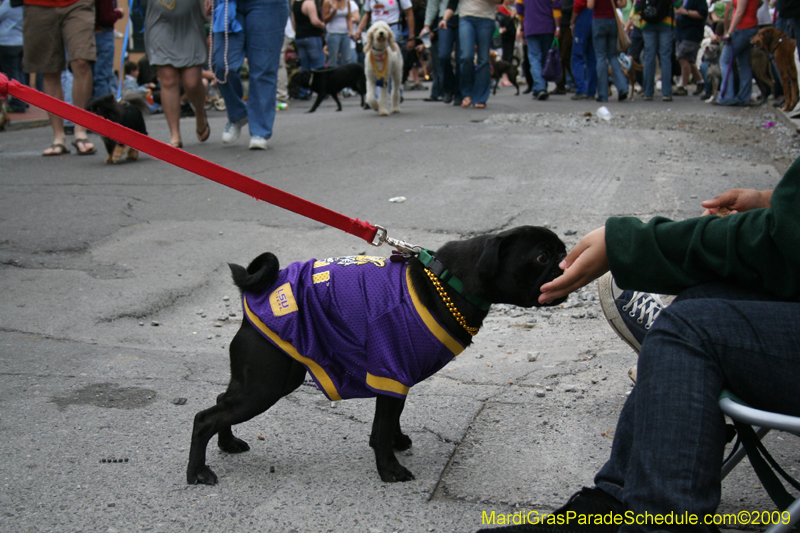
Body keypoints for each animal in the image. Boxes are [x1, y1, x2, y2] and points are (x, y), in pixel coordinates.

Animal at [186, 227, 568, 484]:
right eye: (542, 257)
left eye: (562, 250)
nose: (566, 263)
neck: (448, 281)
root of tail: (255, 295)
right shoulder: (391, 371)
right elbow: (382, 430)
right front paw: (390, 470)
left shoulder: (397, 378)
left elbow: (391, 420)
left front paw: (398, 444)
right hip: (267, 385)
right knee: (205, 418)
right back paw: (198, 472)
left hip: (262, 381)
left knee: (220, 403)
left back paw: (228, 444)